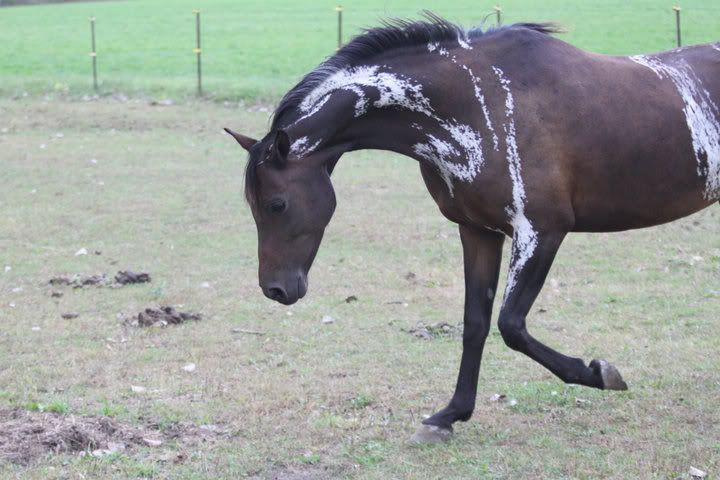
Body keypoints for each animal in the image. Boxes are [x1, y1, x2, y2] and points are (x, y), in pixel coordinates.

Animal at [225, 15, 720, 442]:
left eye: (277, 203)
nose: (275, 289)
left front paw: (599, 374)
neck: (478, 103)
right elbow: (475, 324)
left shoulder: (541, 231)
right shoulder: (478, 231)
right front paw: (449, 415)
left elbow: (511, 325)